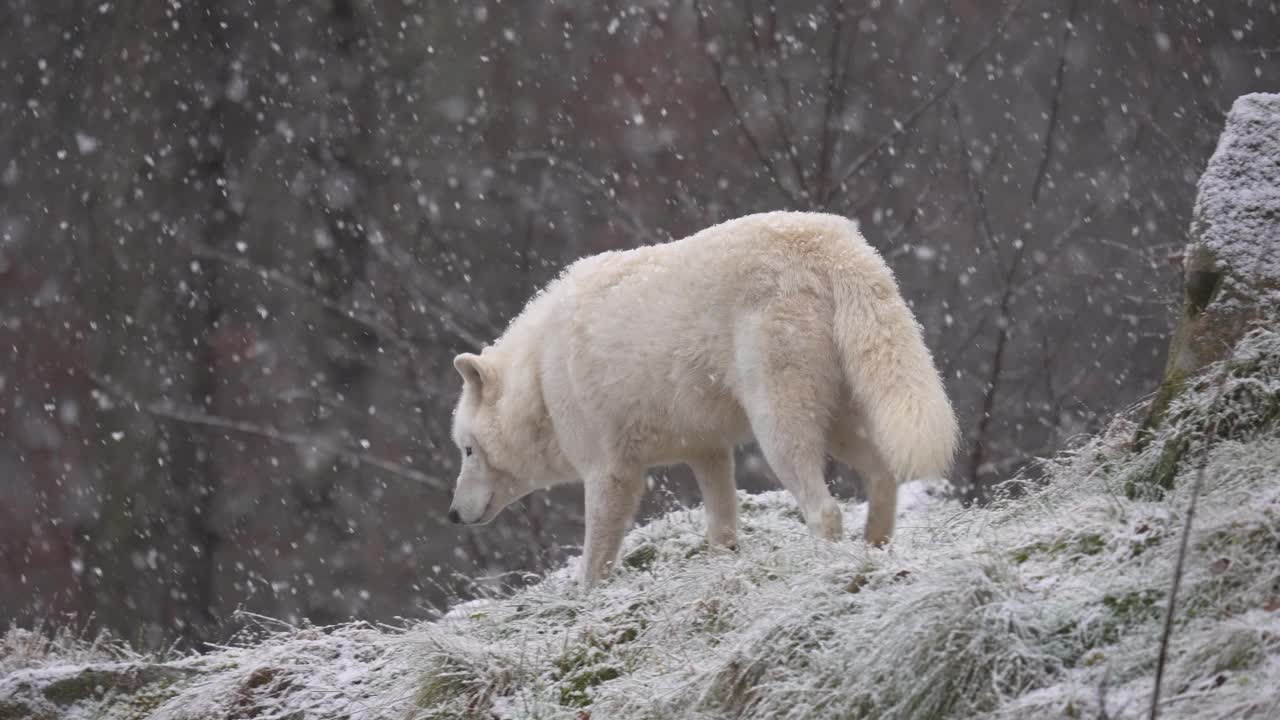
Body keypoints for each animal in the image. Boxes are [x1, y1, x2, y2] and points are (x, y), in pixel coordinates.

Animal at [450, 208, 962, 584]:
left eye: (468, 450)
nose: (453, 515)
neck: (539, 374)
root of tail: (832, 242)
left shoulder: (609, 473)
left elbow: (594, 563)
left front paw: (584, 605)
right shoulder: (707, 451)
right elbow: (722, 528)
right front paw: (722, 570)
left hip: (780, 428)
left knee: (826, 509)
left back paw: (826, 569)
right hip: (843, 422)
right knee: (883, 477)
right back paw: (874, 552)